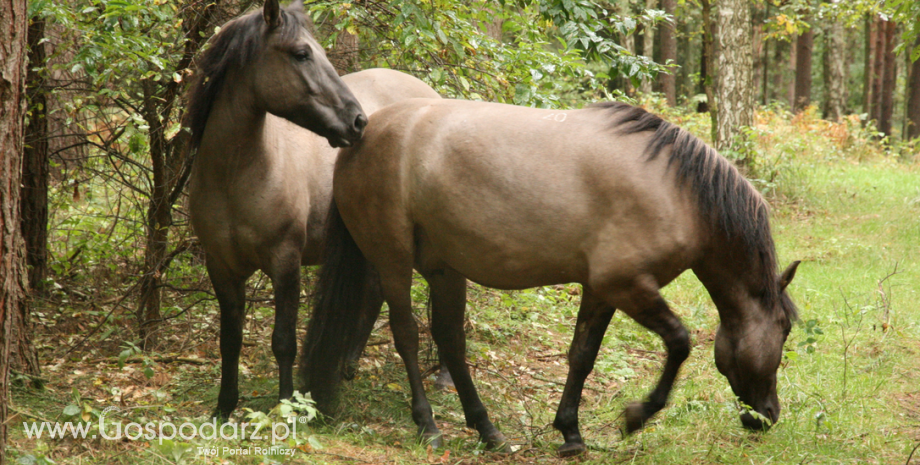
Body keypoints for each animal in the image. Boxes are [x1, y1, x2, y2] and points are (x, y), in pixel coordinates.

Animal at [185, 0, 440, 418]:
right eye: (301, 54)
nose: (358, 121)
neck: (237, 176)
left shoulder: (285, 262)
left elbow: (283, 341)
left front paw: (287, 404)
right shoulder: (221, 268)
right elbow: (230, 340)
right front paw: (224, 407)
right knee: (375, 292)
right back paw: (348, 364)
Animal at [300, 97, 796, 454]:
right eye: (784, 330)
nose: (767, 415)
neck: (676, 192)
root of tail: (362, 135)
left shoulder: (600, 290)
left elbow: (582, 355)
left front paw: (570, 432)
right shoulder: (627, 286)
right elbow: (679, 343)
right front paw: (636, 416)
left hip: (444, 270)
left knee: (450, 342)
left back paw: (488, 432)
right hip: (393, 261)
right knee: (406, 334)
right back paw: (429, 426)